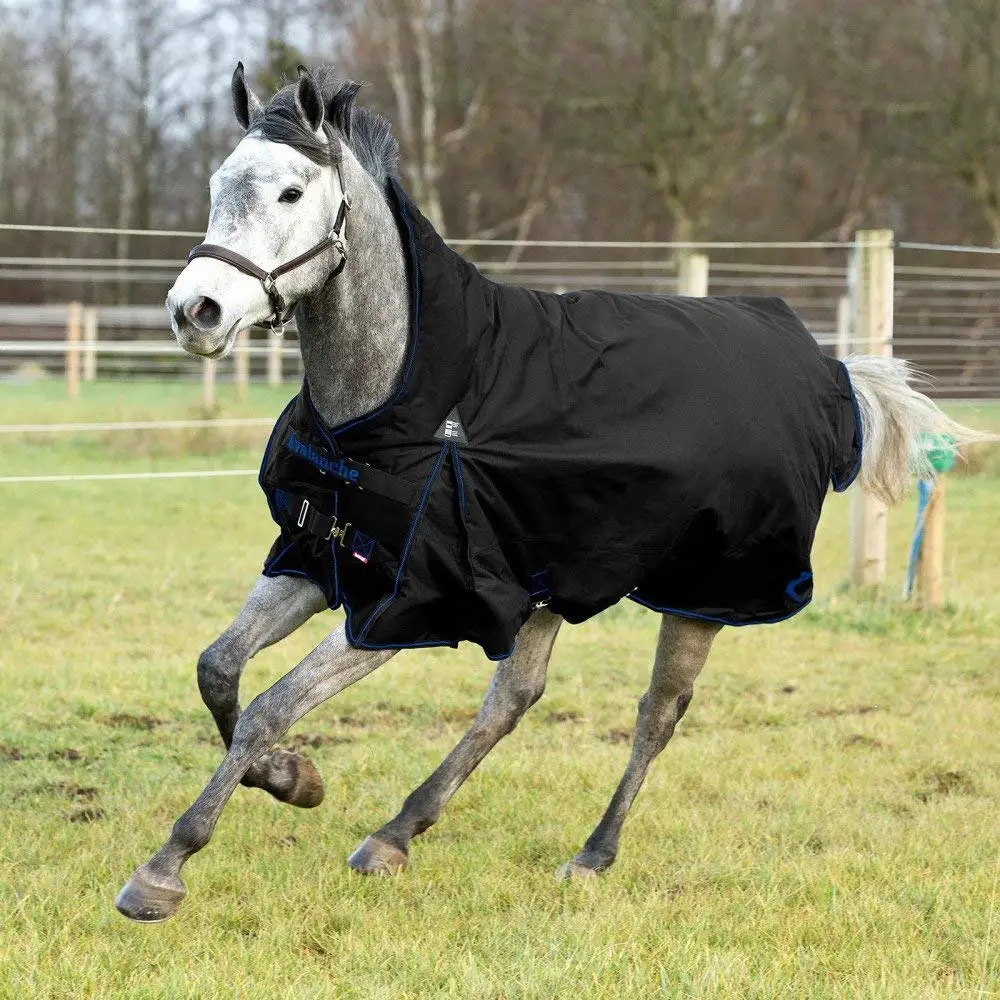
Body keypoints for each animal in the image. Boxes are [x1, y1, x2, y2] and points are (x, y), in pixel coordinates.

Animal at [115, 64, 978, 923]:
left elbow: (271, 705)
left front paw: (165, 868)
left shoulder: (405, 604)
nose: (195, 312)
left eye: (292, 192)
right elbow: (220, 669)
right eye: (218, 184)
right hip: (553, 584)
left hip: (703, 590)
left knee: (657, 712)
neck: (398, 401)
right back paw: (393, 836)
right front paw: (295, 781)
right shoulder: (322, 560)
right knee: (515, 697)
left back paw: (591, 855)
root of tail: (826, 368)